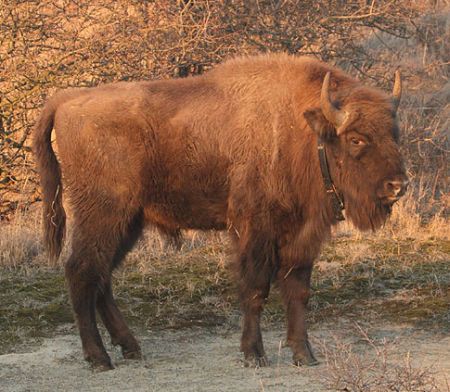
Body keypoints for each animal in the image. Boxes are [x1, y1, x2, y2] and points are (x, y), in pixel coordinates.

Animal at [34, 53, 408, 370]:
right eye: (356, 138)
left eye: (394, 134)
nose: (398, 185)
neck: (300, 129)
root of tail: (66, 100)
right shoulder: (254, 230)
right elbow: (256, 289)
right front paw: (254, 355)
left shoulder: (301, 236)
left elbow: (297, 291)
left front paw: (305, 355)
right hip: (102, 216)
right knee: (82, 272)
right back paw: (99, 358)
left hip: (128, 223)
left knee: (101, 277)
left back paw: (130, 347)